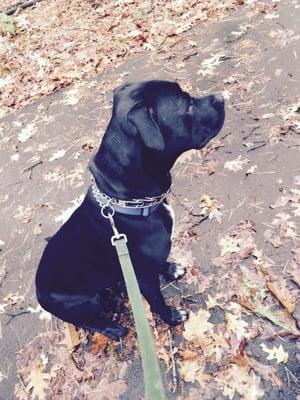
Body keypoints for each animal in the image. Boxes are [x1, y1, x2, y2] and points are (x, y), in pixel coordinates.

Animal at [35, 79, 224, 340]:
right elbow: (157, 301)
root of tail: (37, 292)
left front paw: (171, 268)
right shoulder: (144, 278)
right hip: (86, 302)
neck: (129, 203)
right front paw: (171, 317)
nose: (220, 98)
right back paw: (112, 328)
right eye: (185, 104)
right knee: (89, 321)